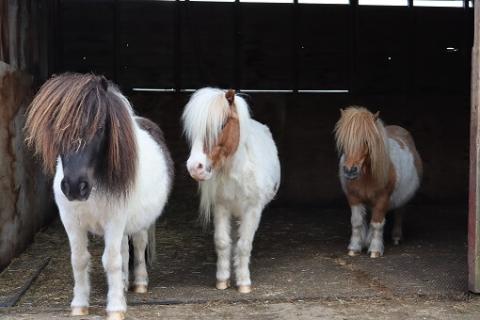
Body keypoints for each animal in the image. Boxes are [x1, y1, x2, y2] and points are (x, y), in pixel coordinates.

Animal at [24, 73, 174, 320]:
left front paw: (115, 308)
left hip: (140, 223)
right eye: (57, 128)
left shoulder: (114, 221)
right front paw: (79, 305)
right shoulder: (72, 223)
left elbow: (111, 261)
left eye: (101, 126)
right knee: (124, 249)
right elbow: (80, 260)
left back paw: (140, 283)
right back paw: (123, 284)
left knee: (138, 246)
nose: (75, 187)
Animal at [183, 87, 282, 292]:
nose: (195, 167)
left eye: (221, 125)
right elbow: (222, 242)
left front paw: (243, 283)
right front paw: (222, 280)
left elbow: (244, 245)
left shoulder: (252, 210)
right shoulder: (221, 208)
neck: (237, 172)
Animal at [336, 107, 422, 258]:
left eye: (366, 141)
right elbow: (356, 222)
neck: (366, 176)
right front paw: (354, 248)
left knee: (399, 213)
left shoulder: (383, 199)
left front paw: (375, 250)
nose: (349, 170)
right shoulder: (354, 198)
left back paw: (396, 237)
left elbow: (377, 223)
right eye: (345, 141)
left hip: (402, 199)